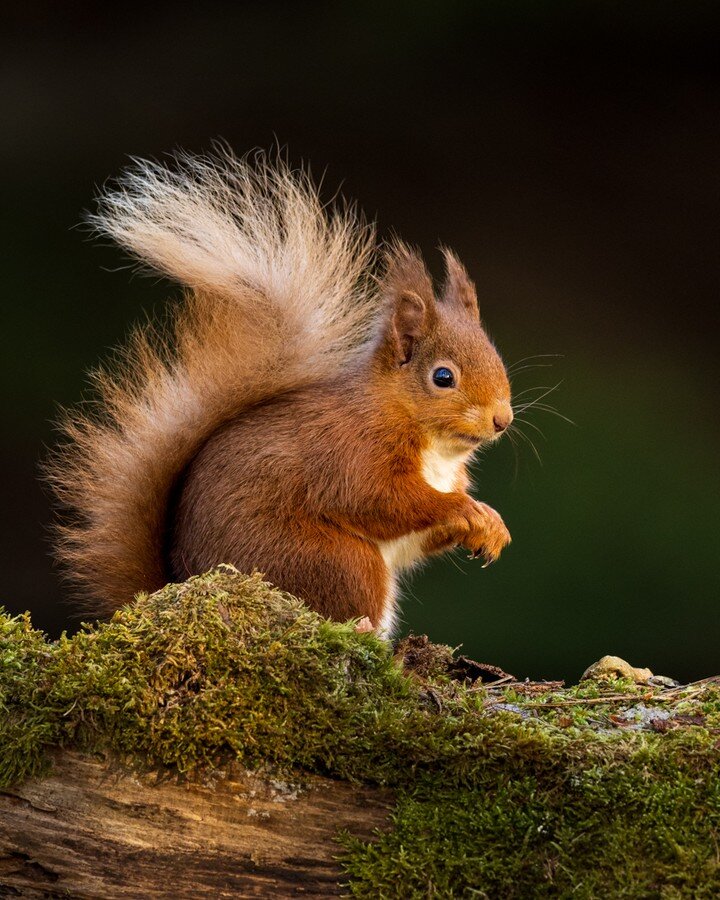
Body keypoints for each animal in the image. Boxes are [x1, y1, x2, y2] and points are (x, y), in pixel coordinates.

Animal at [47, 151, 512, 636]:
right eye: (443, 377)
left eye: (496, 356)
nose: (502, 420)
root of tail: (180, 582)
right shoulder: (352, 450)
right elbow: (379, 499)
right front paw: (463, 509)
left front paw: (491, 526)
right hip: (335, 562)